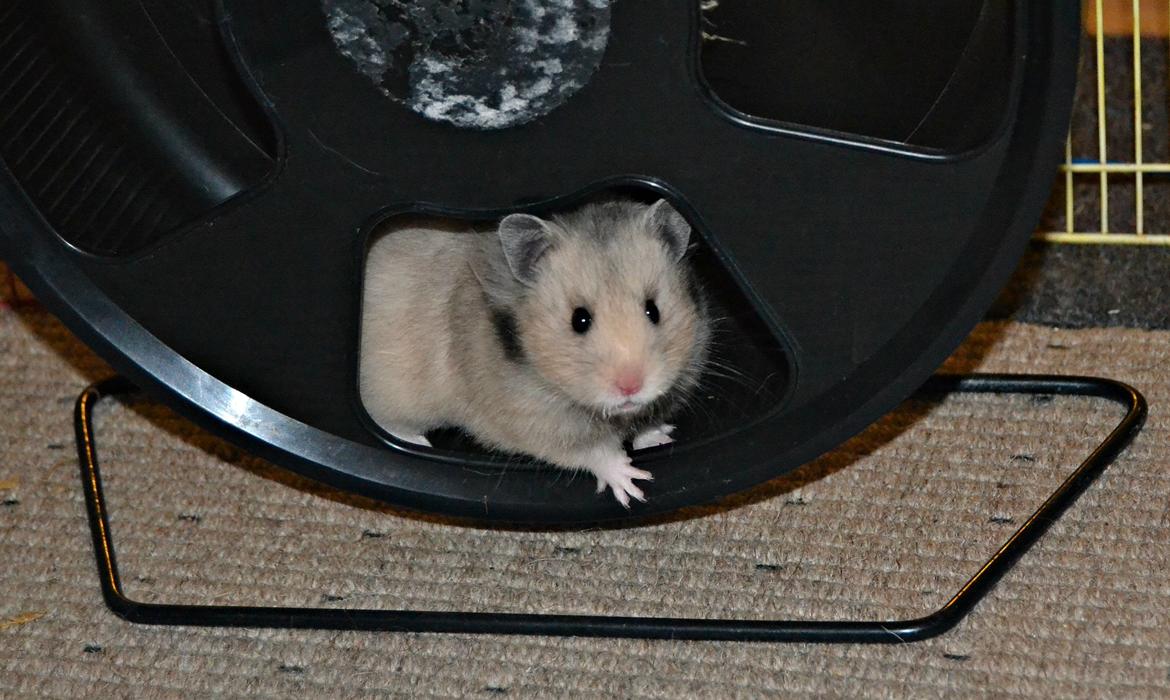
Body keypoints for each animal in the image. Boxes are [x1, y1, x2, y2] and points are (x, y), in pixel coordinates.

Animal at [359, 198, 711, 507]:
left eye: (653, 310)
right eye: (579, 319)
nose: (630, 387)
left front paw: (662, 437)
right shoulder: (528, 422)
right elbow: (590, 452)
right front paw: (633, 484)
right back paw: (416, 441)